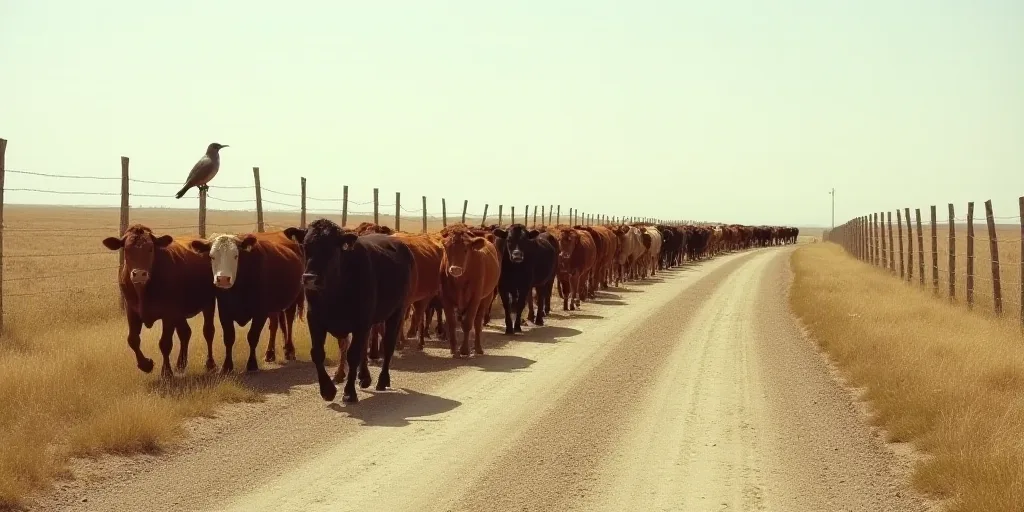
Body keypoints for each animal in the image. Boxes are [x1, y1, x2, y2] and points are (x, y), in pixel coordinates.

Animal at [102, 224, 217, 378]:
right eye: (126, 249)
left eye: (150, 248)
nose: (139, 274)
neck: (143, 291)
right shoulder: (131, 310)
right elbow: (133, 339)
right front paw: (145, 365)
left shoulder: (169, 313)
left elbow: (165, 343)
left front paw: (166, 372)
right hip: (180, 313)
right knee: (185, 333)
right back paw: (180, 364)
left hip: (208, 302)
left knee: (208, 331)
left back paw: (210, 364)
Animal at [189, 231, 305, 373]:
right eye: (212, 256)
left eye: (236, 255)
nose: (223, 279)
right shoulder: (225, 311)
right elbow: (229, 337)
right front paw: (227, 366)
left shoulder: (260, 313)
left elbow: (253, 336)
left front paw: (252, 364)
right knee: (274, 325)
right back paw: (270, 353)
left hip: (293, 300)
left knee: (288, 322)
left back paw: (289, 350)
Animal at [285, 219, 415, 403]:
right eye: (305, 246)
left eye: (330, 248)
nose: (309, 278)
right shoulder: (315, 319)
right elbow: (317, 353)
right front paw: (327, 390)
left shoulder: (360, 321)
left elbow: (353, 355)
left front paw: (349, 392)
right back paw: (364, 377)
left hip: (397, 311)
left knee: (389, 344)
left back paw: (382, 380)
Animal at [438, 223, 501, 357]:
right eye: (447, 248)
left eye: (466, 250)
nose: (455, 269)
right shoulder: (446, 298)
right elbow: (451, 323)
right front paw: (454, 350)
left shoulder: (475, 298)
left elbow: (467, 323)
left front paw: (465, 350)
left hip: (486, 298)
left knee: (477, 323)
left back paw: (478, 348)